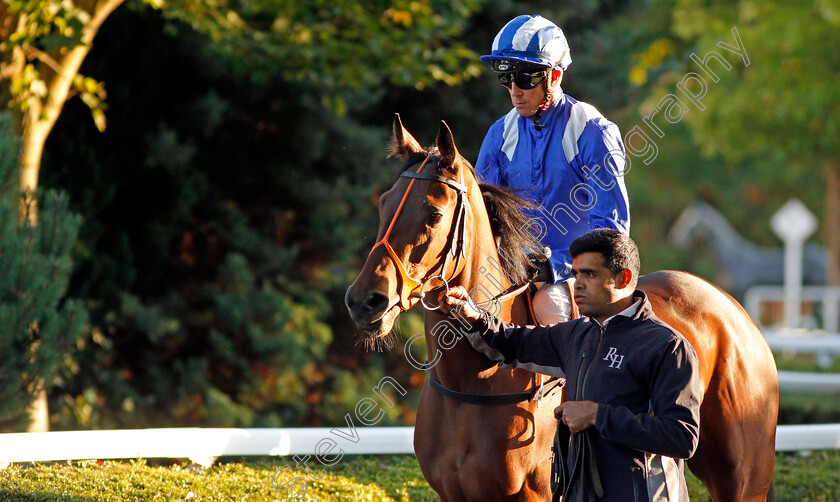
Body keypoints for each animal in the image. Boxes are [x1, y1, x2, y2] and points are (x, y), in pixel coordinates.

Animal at [344, 114, 776, 502]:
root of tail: (734, 309)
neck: (472, 384)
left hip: (743, 479)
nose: (365, 300)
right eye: (384, 204)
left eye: (434, 212)